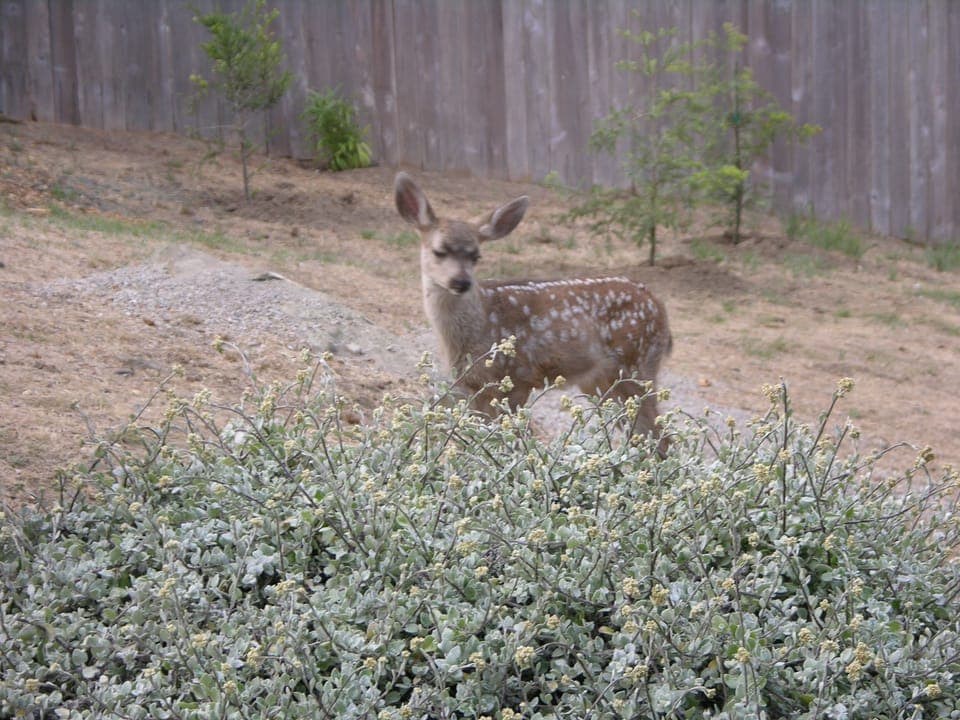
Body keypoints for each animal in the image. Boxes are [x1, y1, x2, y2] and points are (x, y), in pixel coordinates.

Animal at [394, 172, 673, 454]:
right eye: (439, 251)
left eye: (476, 256)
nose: (461, 282)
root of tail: (659, 306)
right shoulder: (470, 385)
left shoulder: (518, 376)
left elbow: (510, 440)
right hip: (600, 380)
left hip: (635, 364)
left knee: (661, 438)